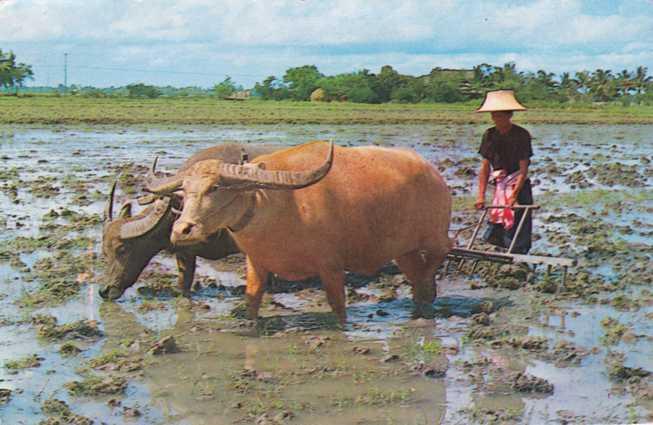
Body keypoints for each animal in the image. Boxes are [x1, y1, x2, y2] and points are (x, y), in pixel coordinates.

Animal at [146, 141, 454, 322]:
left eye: (215, 187)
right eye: (184, 190)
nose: (182, 230)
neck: (279, 207)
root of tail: (432, 172)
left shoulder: (331, 268)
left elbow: (338, 308)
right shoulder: (257, 265)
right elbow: (251, 301)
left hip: (435, 237)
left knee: (440, 255)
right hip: (404, 250)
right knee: (418, 278)